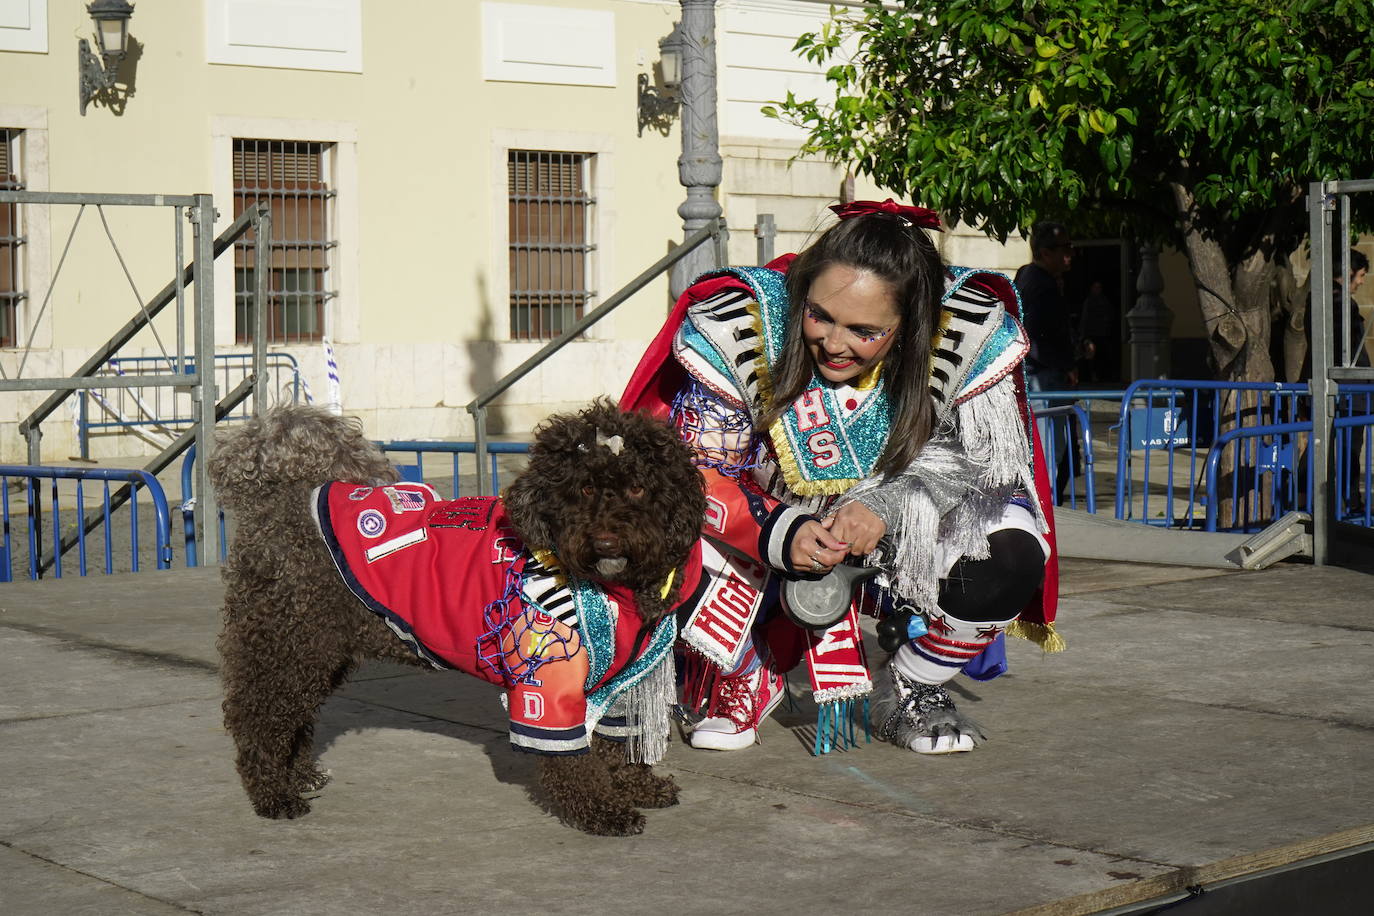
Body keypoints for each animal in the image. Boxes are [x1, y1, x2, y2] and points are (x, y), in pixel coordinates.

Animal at [217, 401, 708, 840]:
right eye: (584, 489)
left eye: (639, 488)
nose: (605, 541)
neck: (611, 587)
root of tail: (275, 501)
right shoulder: (544, 682)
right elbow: (570, 758)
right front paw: (601, 810)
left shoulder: (620, 682)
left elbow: (615, 742)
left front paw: (634, 787)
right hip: (289, 646)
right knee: (259, 719)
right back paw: (273, 793)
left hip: (316, 652)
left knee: (294, 719)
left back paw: (298, 776)